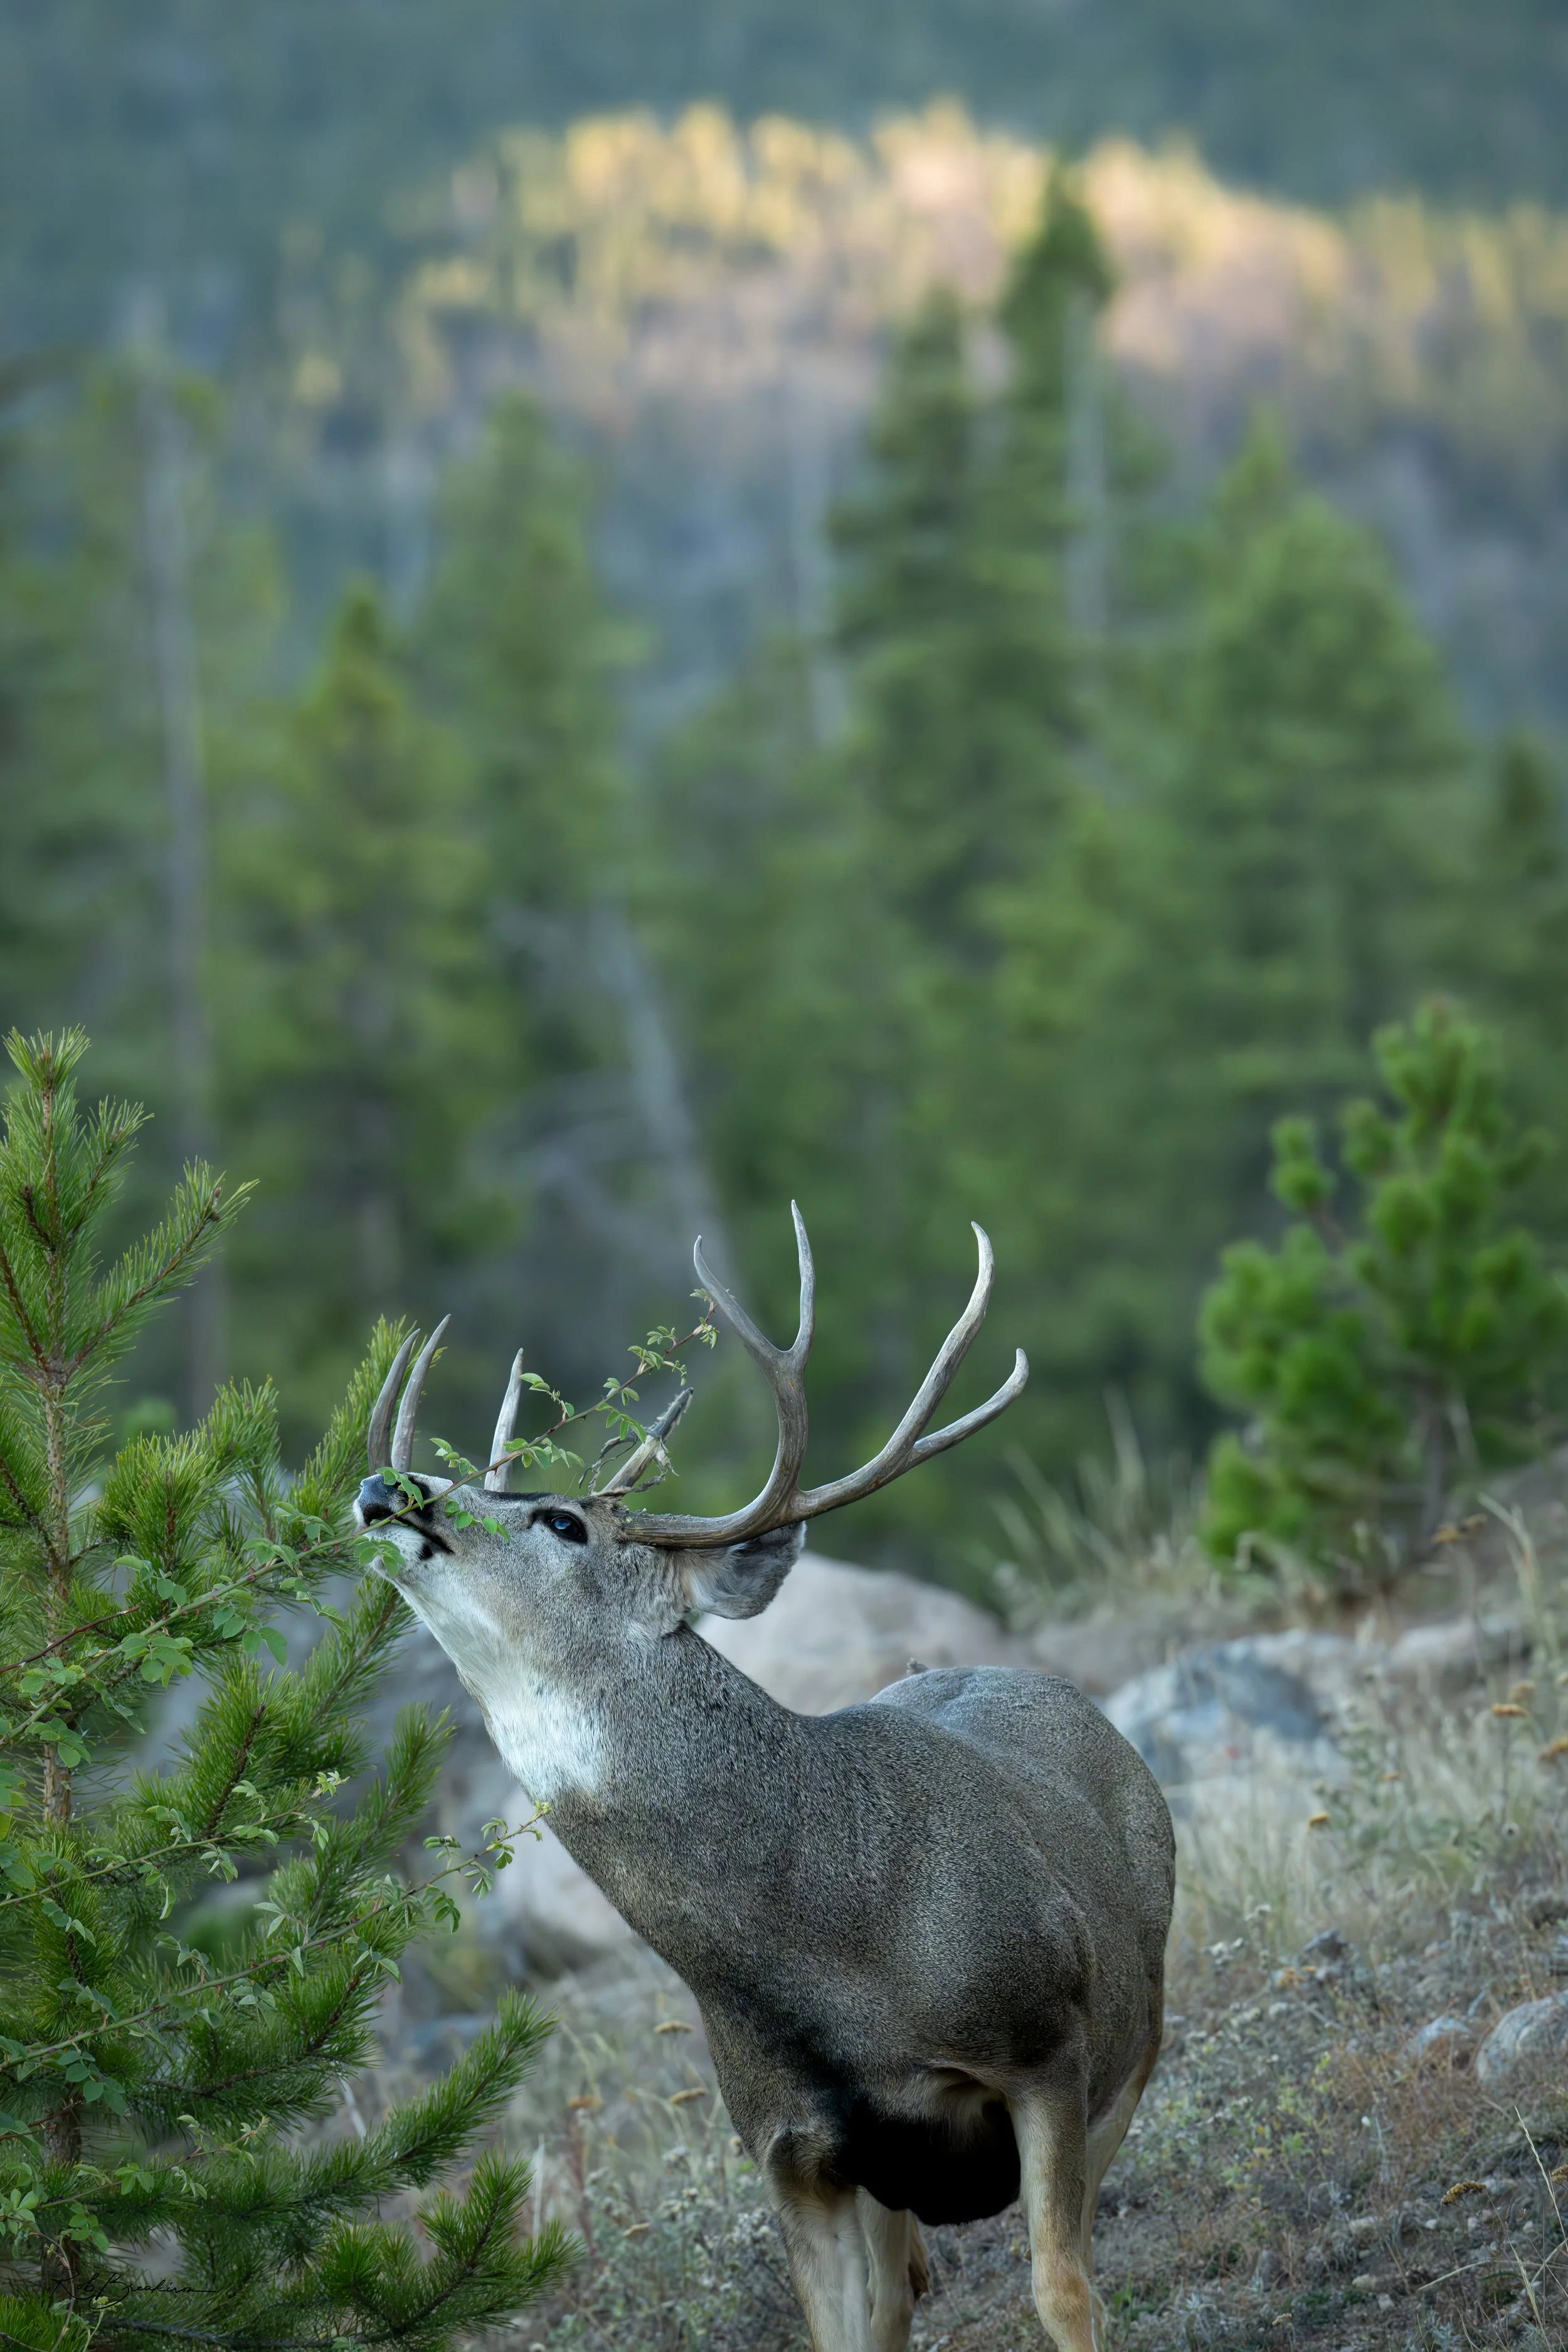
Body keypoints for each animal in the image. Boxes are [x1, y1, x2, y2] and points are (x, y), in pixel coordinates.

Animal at [354, 1210, 1174, 2352]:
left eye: (563, 1520)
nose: (391, 1488)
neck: (826, 1947)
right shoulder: (788, 2147)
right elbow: (844, 2329)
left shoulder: (1043, 2041)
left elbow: (1064, 2286)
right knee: (900, 2292)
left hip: (1141, 2011)